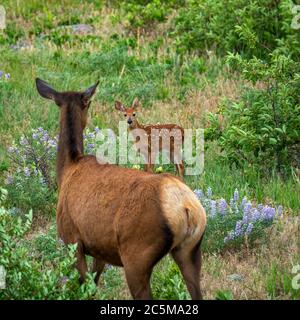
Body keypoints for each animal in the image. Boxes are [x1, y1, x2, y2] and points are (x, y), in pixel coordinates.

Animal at [35, 78, 206, 300]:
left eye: (89, 104)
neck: (68, 169)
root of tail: (186, 206)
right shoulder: (100, 247)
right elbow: (93, 283)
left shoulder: (72, 239)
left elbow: (84, 286)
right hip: (190, 250)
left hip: (137, 253)